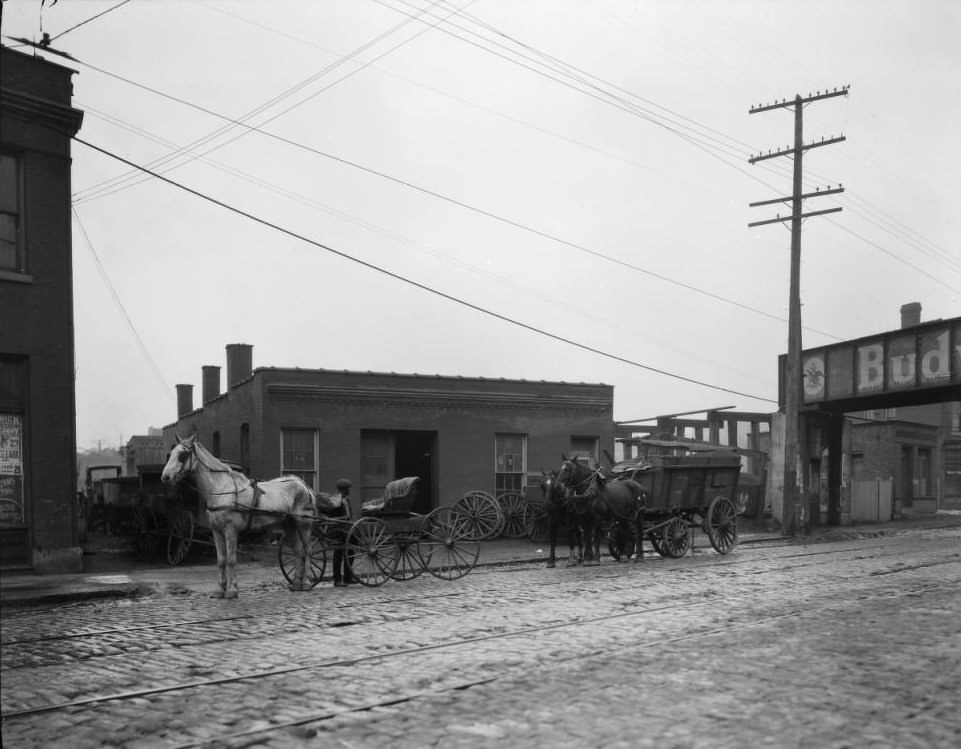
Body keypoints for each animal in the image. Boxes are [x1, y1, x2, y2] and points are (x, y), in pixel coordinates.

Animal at [161, 432, 316, 596]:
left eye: (183, 455)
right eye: (170, 454)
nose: (165, 477)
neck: (222, 489)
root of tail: (301, 483)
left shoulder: (231, 530)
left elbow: (231, 560)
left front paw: (231, 590)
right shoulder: (216, 531)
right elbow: (221, 560)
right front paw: (219, 590)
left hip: (304, 524)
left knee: (308, 550)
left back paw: (306, 582)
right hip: (288, 525)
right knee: (299, 551)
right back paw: (296, 583)